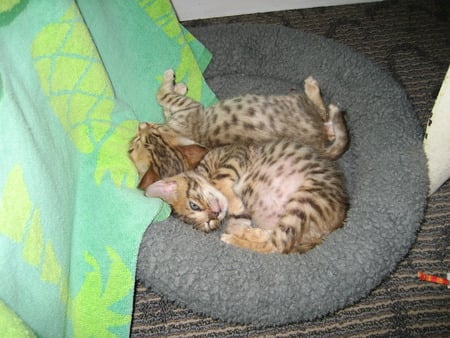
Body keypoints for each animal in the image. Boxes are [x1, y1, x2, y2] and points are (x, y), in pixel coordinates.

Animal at [130, 69, 348, 189]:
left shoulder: (185, 110)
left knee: (324, 116)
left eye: (138, 142)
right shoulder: (187, 110)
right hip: (295, 102)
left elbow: (164, 101)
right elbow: (163, 98)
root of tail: (318, 145)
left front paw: (177, 85)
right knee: (322, 113)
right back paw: (318, 96)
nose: (141, 125)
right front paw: (173, 82)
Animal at [145, 135, 348, 254]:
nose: (215, 215)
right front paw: (239, 222)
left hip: (306, 199)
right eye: (208, 225)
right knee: (277, 243)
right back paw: (244, 234)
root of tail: (338, 219)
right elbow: (239, 220)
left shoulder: (235, 154)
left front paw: (233, 204)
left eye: (194, 205)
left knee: (278, 246)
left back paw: (233, 238)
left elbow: (220, 179)